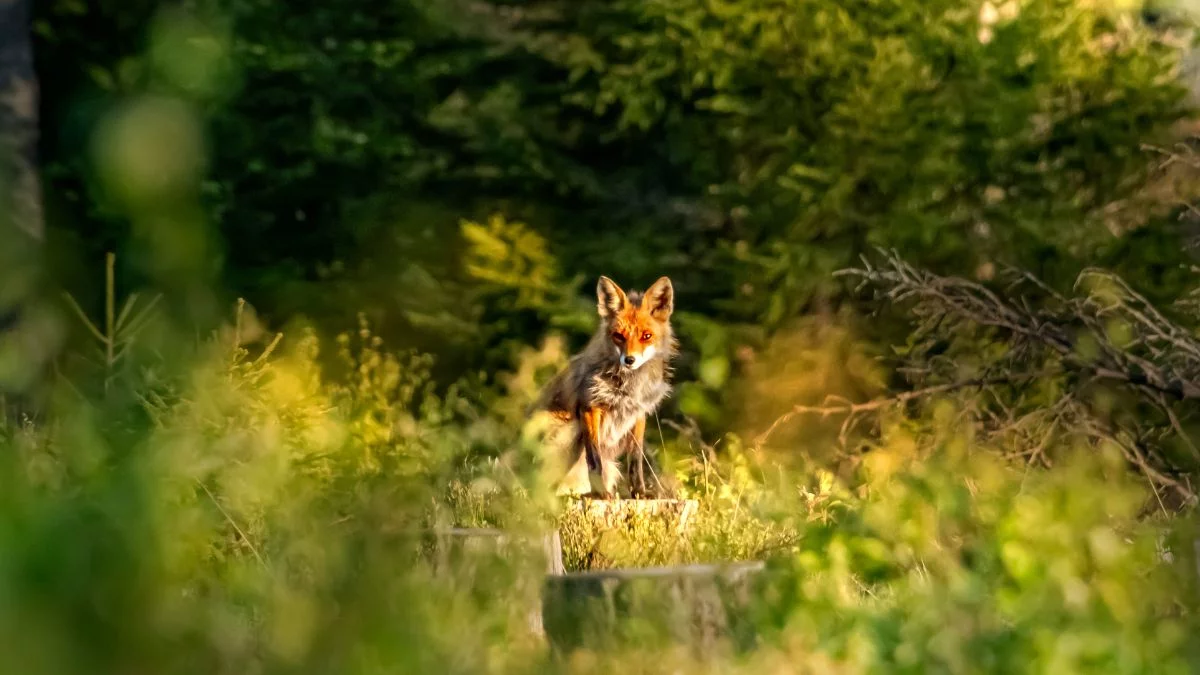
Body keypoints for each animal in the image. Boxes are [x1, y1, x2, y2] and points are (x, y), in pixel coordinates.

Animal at [540, 275, 681, 499]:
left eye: (646, 336)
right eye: (618, 336)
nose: (630, 360)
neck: (628, 388)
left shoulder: (638, 414)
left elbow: (635, 461)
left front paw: (639, 493)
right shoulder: (590, 407)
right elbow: (594, 460)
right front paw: (602, 494)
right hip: (569, 432)